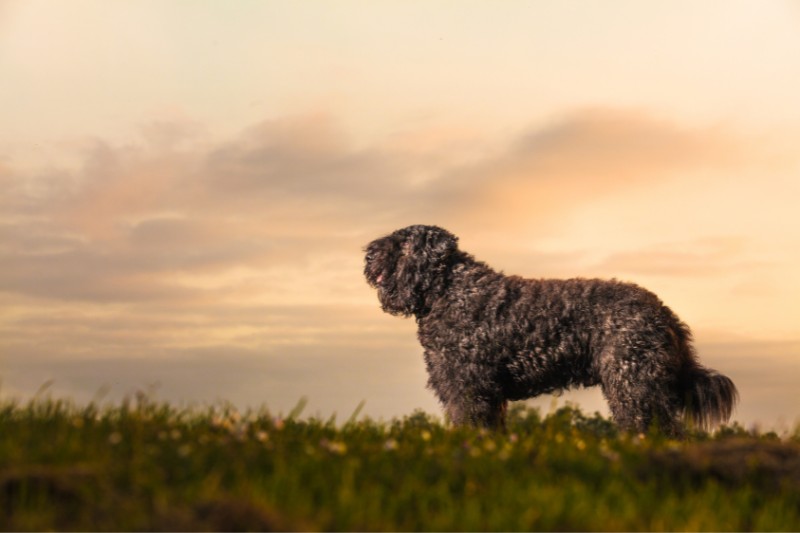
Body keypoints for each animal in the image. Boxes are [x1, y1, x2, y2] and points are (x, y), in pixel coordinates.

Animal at [362, 222, 736, 434]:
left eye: (401, 243)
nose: (368, 254)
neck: (449, 291)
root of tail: (664, 312)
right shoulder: (481, 392)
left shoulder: (468, 386)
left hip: (634, 384)